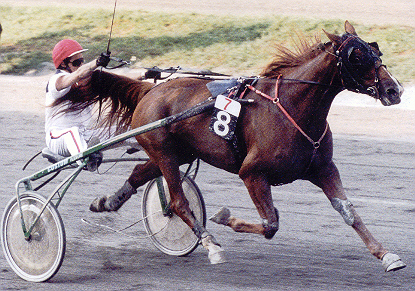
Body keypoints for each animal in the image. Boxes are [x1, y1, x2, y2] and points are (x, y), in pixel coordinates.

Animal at [83, 21, 404, 272]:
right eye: (357, 56)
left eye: (376, 51)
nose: (394, 90)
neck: (292, 107)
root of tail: (152, 89)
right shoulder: (252, 173)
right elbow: (270, 223)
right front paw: (224, 218)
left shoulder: (323, 168)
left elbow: (348, 211)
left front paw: (386, 254)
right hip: (163, 150)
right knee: (177, 202)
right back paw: (210, 243)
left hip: (176, 152)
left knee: (139, 172)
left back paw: (106, 202)